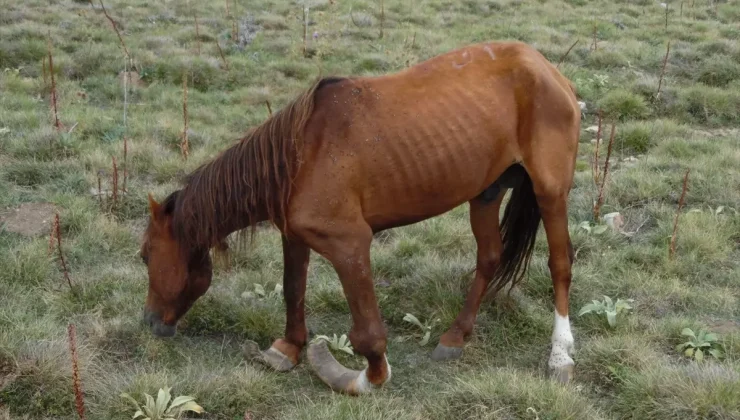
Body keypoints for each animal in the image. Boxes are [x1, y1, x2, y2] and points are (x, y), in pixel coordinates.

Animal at [142, 41, 584, 396]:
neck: (300, 155)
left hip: (549, 191)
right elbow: (293, 290)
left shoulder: (349, 244)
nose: (149, 322)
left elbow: (368, 335)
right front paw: (287, 349)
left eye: (145, 255)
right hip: (486, 192)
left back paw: (560, 356)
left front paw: (366, 379)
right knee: (489, 258)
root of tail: (546, 67)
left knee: (560, 263)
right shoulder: (294, 236)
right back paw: (456, 337)